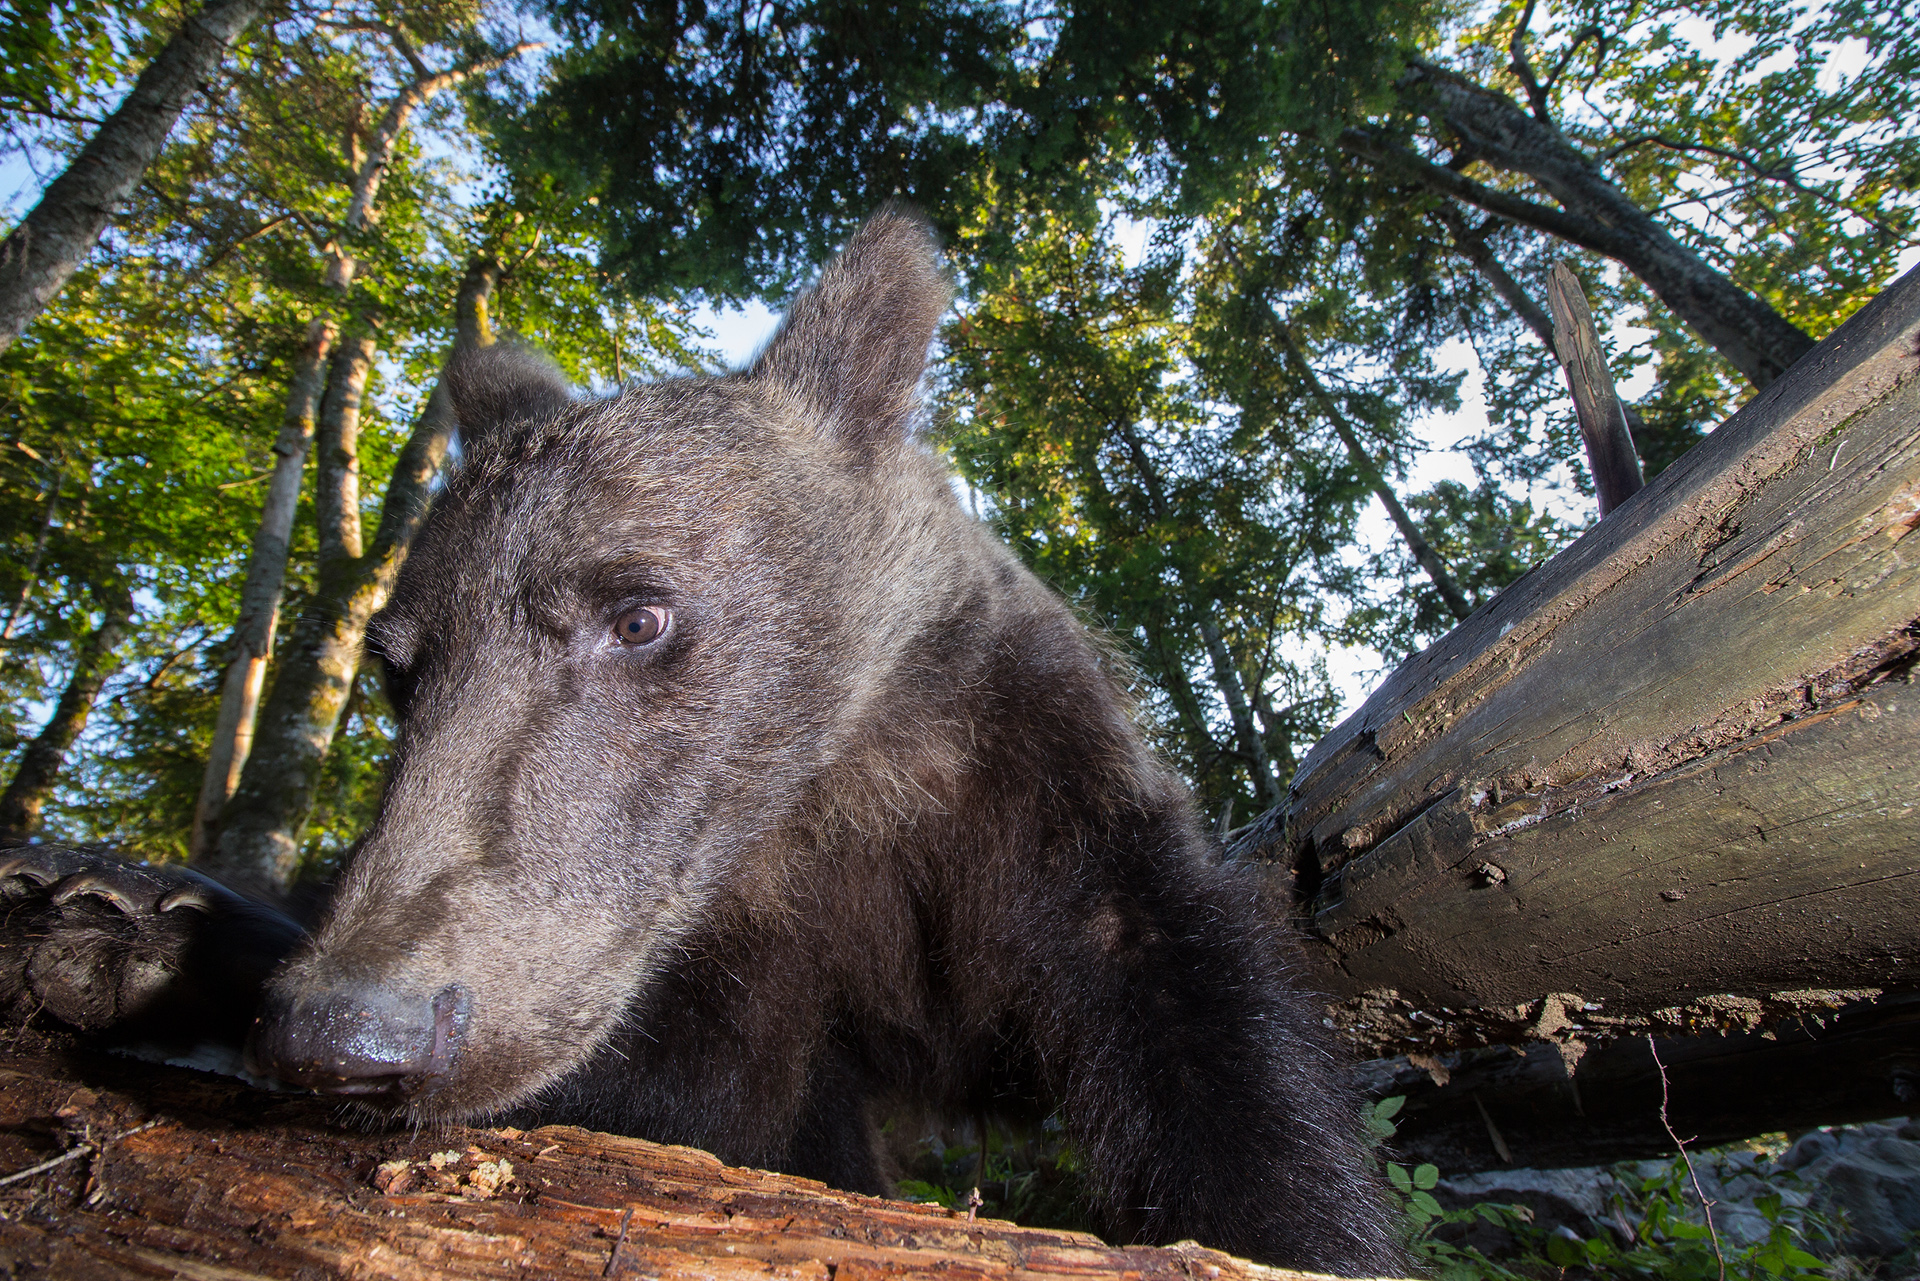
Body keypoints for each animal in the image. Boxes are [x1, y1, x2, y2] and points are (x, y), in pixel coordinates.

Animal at [3, 208, 1413, 1275]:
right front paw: (128, 928)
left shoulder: (1027, 789)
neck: (830, 788)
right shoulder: (732, 943)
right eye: (402, 670)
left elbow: (1212, 1048)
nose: (350, 1036)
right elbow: (716, 1109)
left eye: (639, 614)